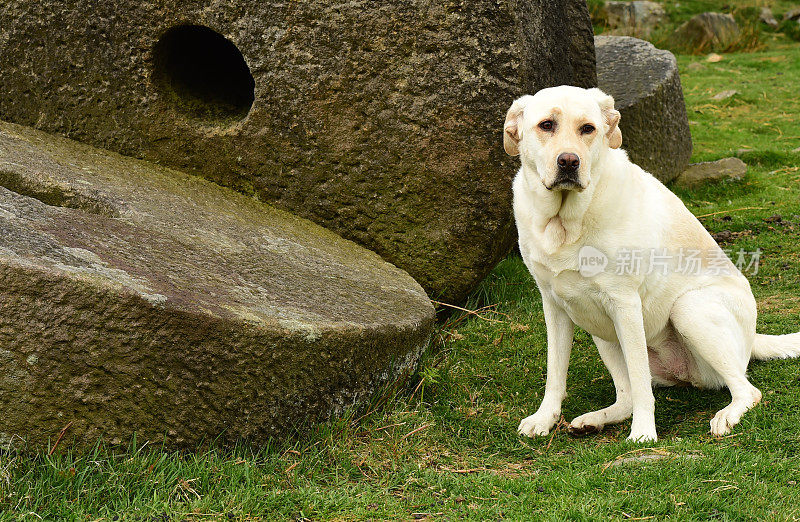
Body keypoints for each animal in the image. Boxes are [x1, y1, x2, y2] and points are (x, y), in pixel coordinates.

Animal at [506, 85, 800, 438]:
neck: (565, 222)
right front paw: (544, 418)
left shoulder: (625, 304)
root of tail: (752, 338)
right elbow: (555, 372)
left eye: (587, 129)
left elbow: (641, 385)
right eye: (546, 125)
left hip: (688, 309)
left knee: (746, 390)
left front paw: (644, 433)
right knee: (627, 396)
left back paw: (727, 415)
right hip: (599, 328)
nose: (569, 161)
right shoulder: (555, 306)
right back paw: (595, 419)